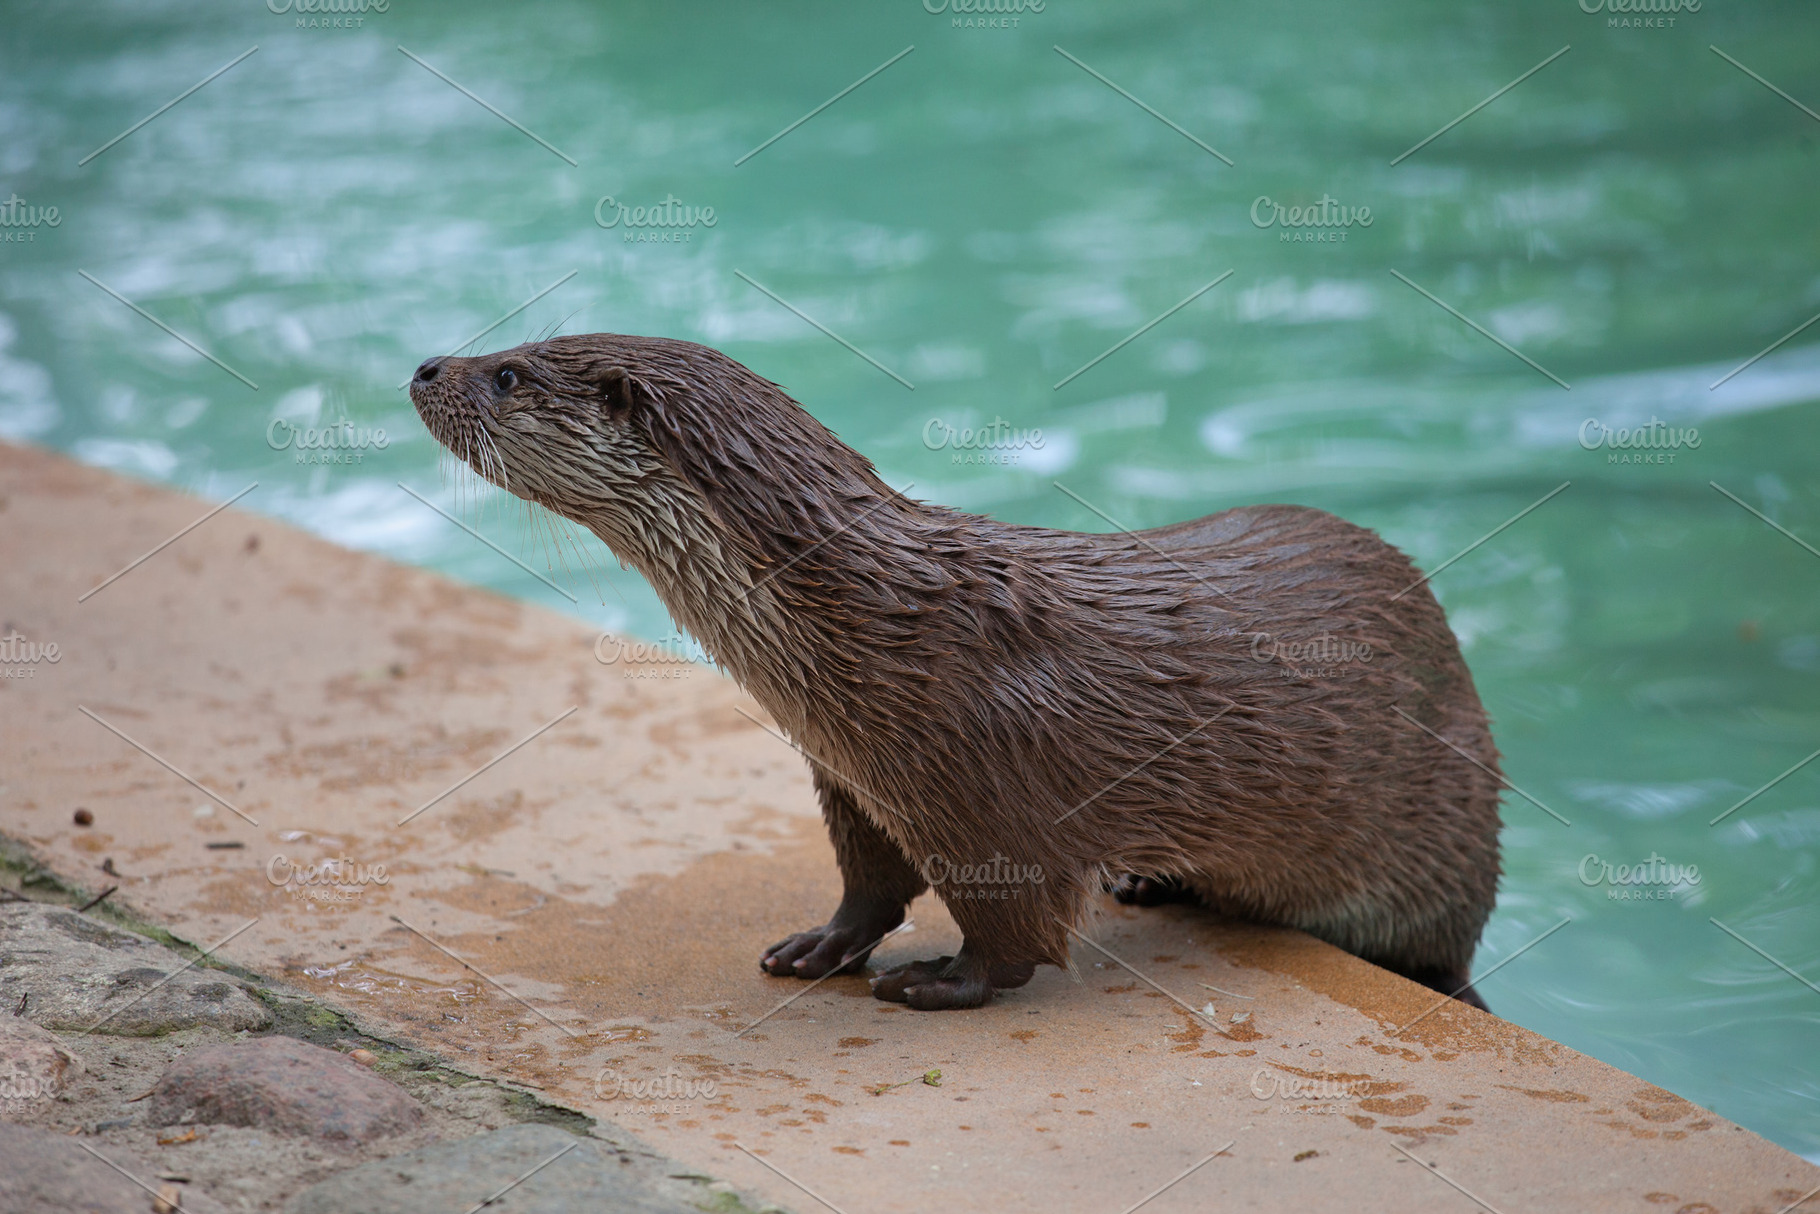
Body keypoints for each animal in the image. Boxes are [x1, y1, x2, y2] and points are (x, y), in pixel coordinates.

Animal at [409, 334, 1503, 1013]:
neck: (862, 625)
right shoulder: (852, 775)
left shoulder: (990, 797)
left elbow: (1013, 934)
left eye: (507, 373)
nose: (424, 366)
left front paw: (941, 980)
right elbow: (868, 880)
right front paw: (822, 945)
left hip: (1443, 836)